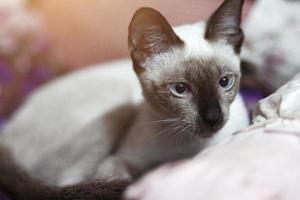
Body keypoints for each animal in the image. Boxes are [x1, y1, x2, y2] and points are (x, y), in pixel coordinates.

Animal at [0, 0, 248, 198]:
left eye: (224, 82)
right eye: (180, 89)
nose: (213, 118)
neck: (187, 149)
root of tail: (7, 134)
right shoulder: (119, 160)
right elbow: (122, 180)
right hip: (116, 108)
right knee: (67, 183)